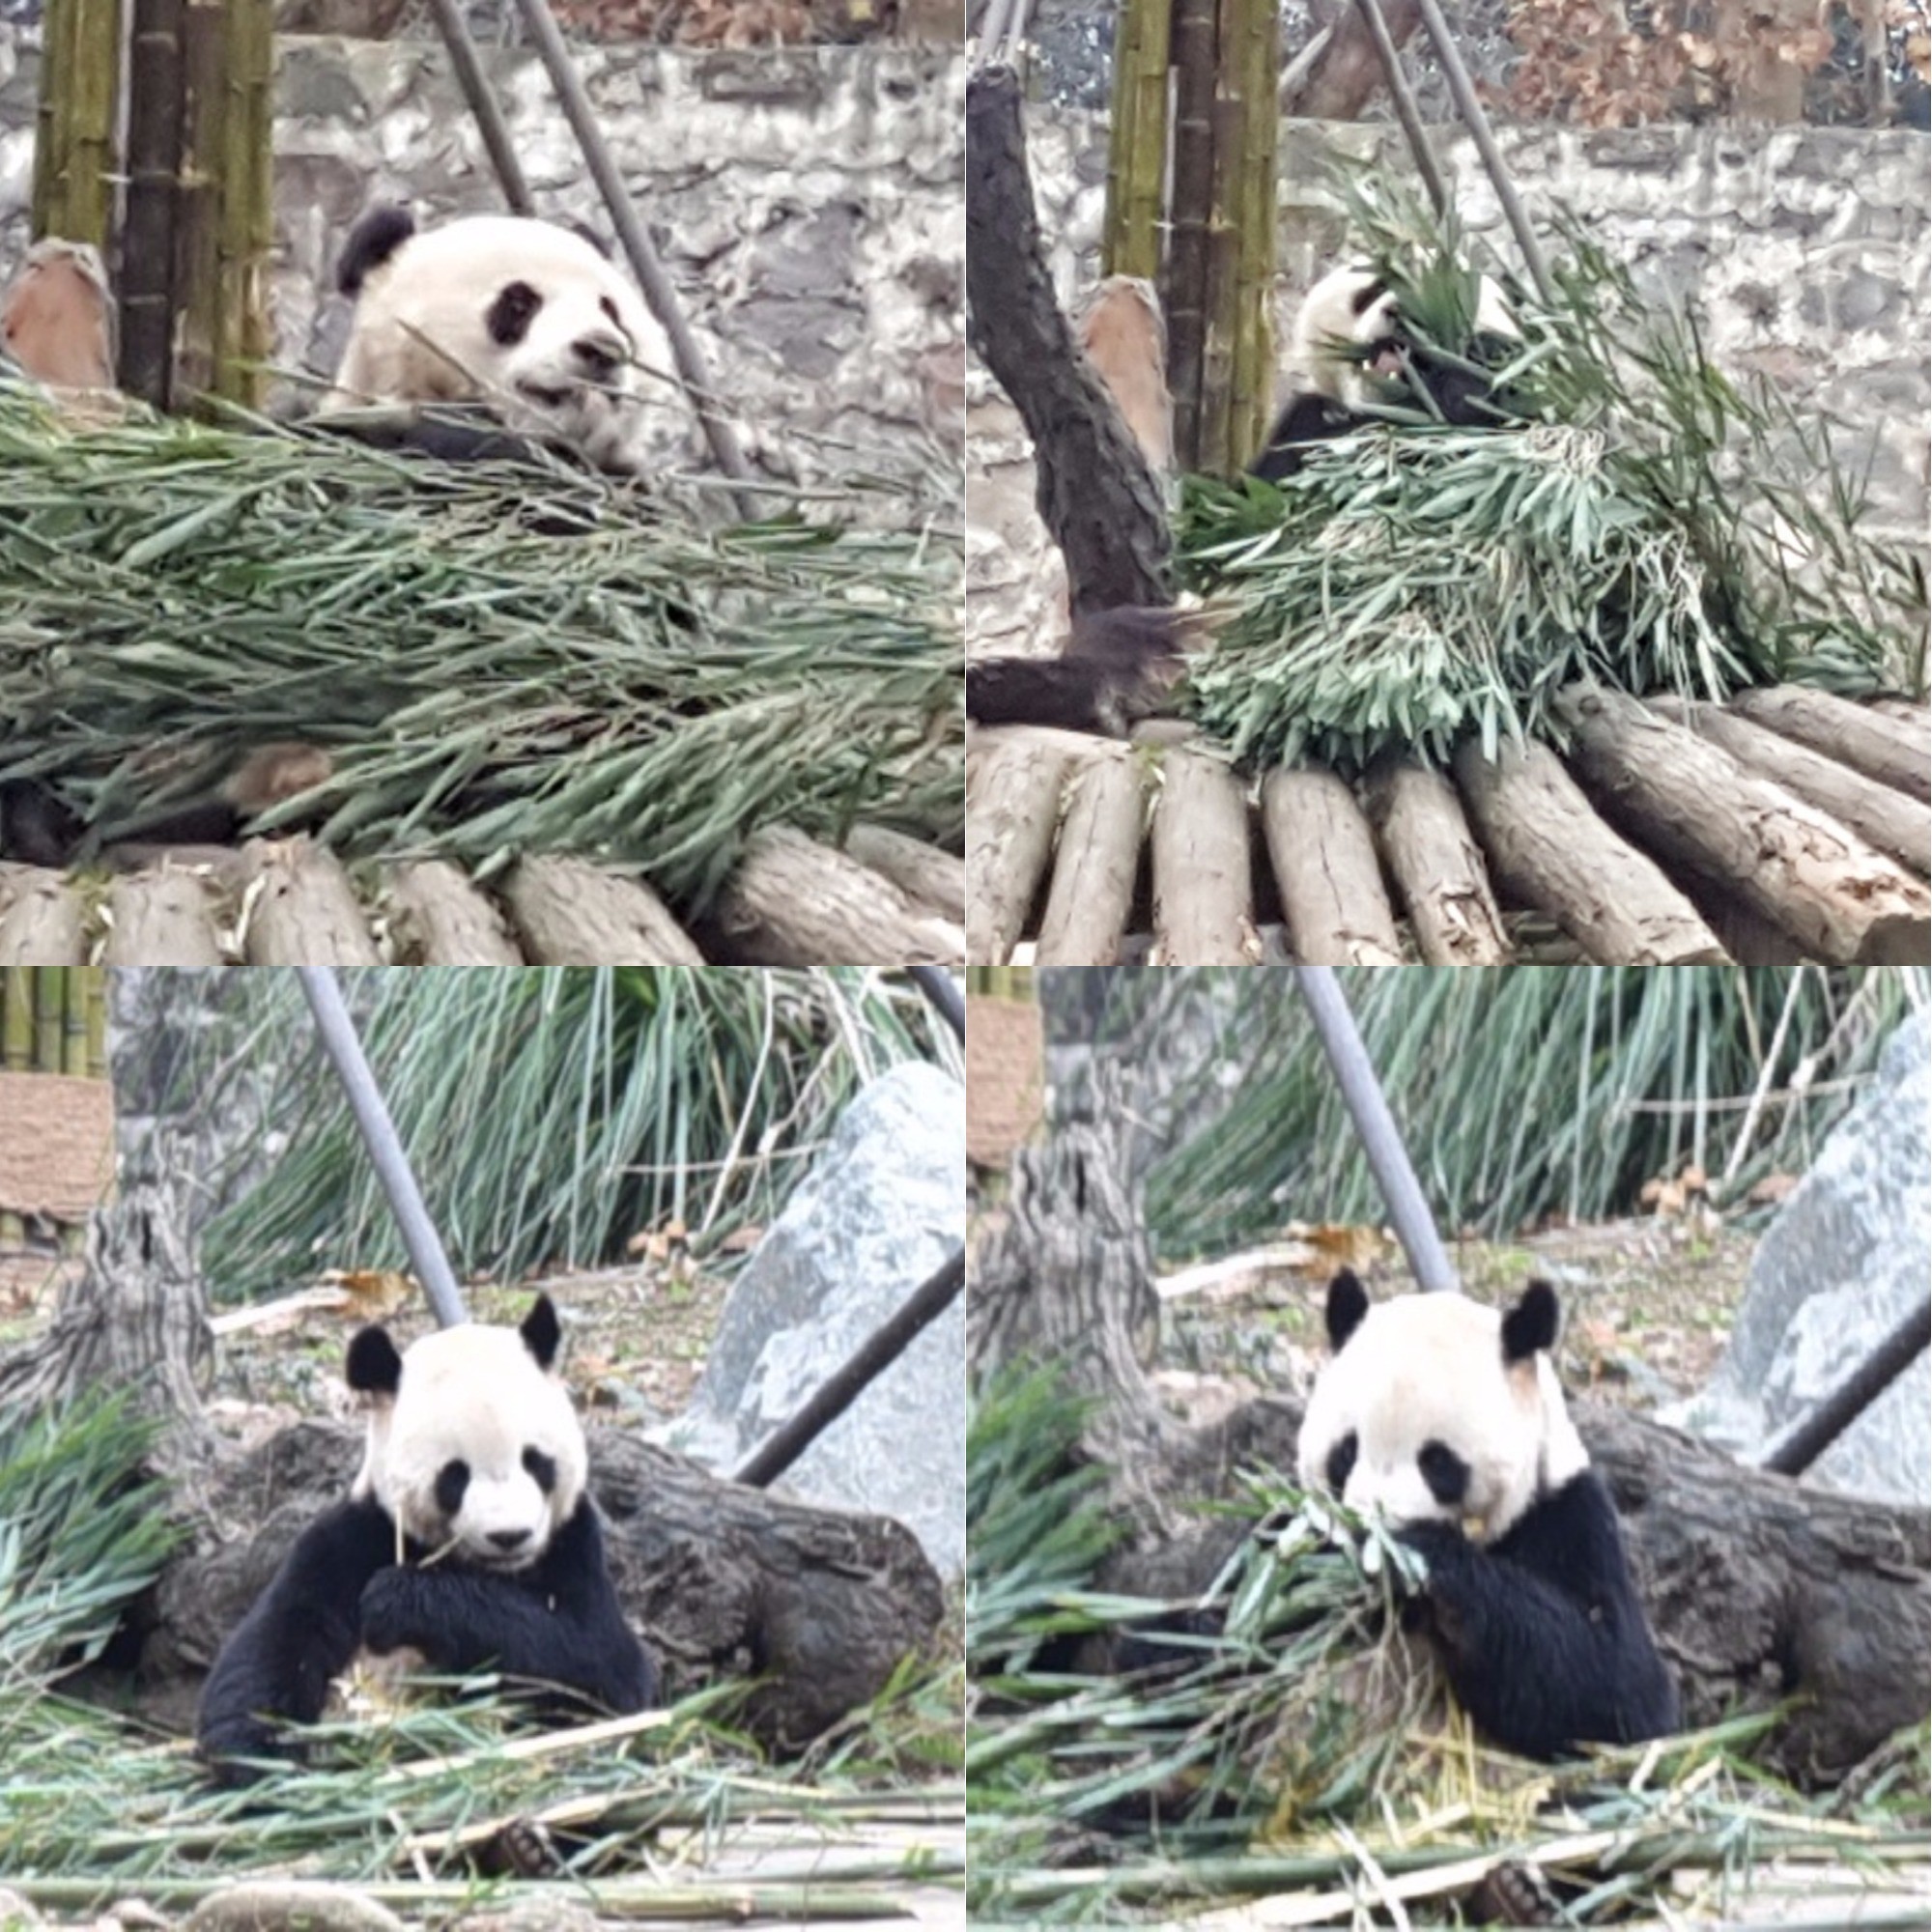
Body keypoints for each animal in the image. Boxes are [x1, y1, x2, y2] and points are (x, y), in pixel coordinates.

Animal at [197, 1291, 653, 1785]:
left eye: (535, 1461)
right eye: (455, 1475)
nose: (509, 1536)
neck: (488, 1571)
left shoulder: (573, 1545)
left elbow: (599, 1662)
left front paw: (398, 1598)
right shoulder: (357, 1535)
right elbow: (271, 1647)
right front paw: (258, 1768)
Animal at [1298, 1275, 1677, 1762]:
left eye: (1437, 1462)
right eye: (1346, 1451)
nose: (1369, 1527)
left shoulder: (1568, 1517)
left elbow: (1620, 1686)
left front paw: (1417, 1553)